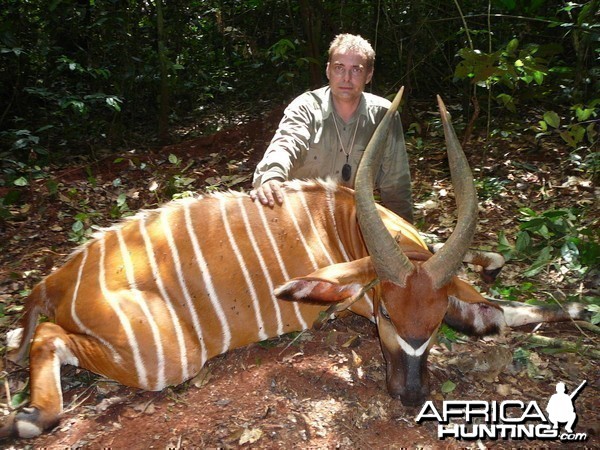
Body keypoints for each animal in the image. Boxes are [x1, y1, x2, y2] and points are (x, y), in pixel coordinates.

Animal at [0, 88, 584, 440]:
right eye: (387, 315)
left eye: (434, 321)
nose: (412, 395)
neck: (341, 222)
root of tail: (53, 281)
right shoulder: (353, 299)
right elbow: (496, 314)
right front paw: (579, 306)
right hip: (167, 356)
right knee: (47, 336)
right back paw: (29, 418)